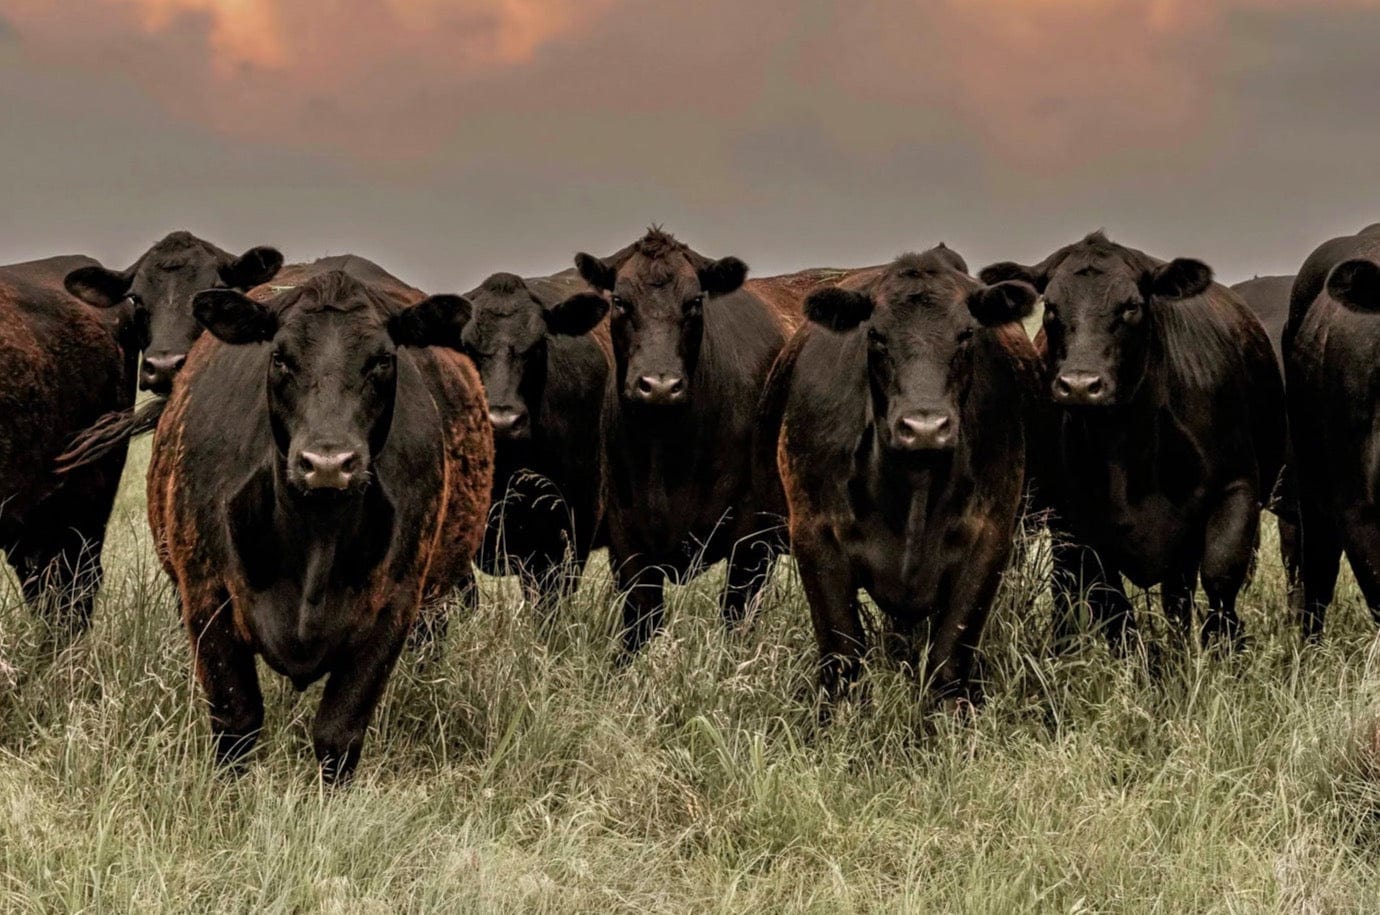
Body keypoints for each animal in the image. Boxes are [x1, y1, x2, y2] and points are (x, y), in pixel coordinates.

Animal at [147, 255, 492, 780]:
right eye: (280, 358)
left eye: (382, 360)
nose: (328, 463)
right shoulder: (206, 596)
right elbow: (236, 722)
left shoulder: (394, 607)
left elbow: (338, 732)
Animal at [550, 228, 797, 658]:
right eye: (619, 301)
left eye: (695, 301)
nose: (660, 386)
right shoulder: (627, 533)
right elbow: (641, 620)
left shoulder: (753, 538)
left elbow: (735, 617)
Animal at [759, 248, 1041, 703]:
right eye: (875, 335)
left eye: (966, 333)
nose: (924, 427)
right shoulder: (814, 536)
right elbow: (843, 657)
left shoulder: (990, 538)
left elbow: (948, 660)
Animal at [980, 232, 1286, 651]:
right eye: (1052, 307)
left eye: (1131, 306)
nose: (1080, 385)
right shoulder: (1077, 525)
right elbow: (1112, 603)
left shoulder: (1236, 489)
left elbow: (1220, 576)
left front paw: (1225, 646)